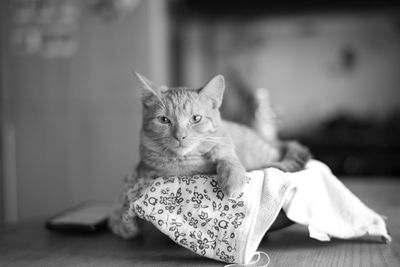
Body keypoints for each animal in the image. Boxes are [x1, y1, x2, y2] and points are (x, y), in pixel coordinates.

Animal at [133, 72, 310, 198]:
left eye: (196, 118)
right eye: (164, 120)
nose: (180, 136)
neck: (187, 162)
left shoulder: (224, 142)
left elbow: (229, 159)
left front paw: (233, 180)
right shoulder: (145, 169)